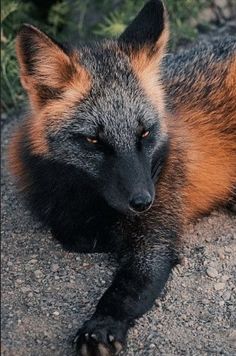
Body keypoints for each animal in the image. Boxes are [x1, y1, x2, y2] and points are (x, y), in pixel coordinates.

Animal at [7, 0, 236, 354]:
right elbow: (69, 234)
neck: (87, 201)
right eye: (93, 140)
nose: (143, 201)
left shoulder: (156, 235)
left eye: (144, 133)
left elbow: (126, 289)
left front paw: (102, 325)